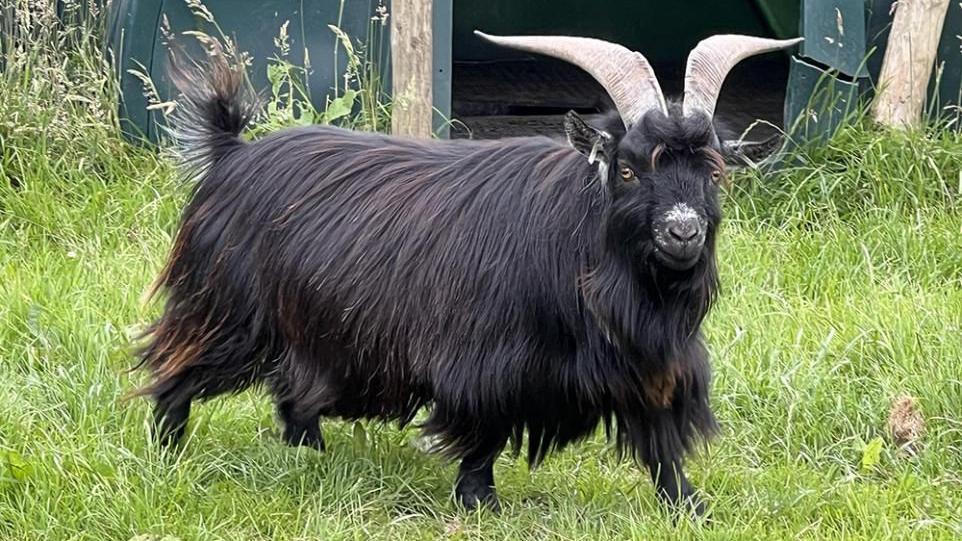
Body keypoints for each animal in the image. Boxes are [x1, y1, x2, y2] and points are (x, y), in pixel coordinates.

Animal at [133, 31, 796, 512]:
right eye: (629, 170)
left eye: (713, 172)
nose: (682, 232)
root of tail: (232, 155)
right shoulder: (487, 359)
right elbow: (486, 429)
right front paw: (479, 502)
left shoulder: (653, 361)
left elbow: (660, 438)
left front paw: (688, 506)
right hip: (226, 312)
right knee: (176, 374)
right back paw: (167, 456)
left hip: (314, 330)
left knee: (295, 394)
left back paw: (312, 459)